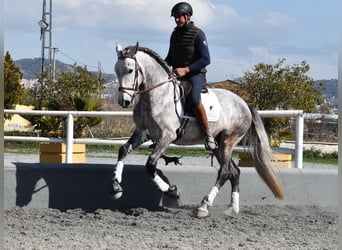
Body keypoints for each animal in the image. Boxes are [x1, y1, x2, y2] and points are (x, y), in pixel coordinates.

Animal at [111, 42, 284, 218]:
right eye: (116, 70)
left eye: (130, 70)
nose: (124, 101)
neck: (156, 95)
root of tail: (245, 104)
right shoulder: (143, 132)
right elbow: (123, 150)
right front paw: (116, 187)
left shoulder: (167, 136)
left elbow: (151, 164)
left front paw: (172, 190)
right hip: (218, 145)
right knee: (234, 172)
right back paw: (232, 208)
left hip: (228, 140)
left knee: (224, 172)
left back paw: (204, 205)